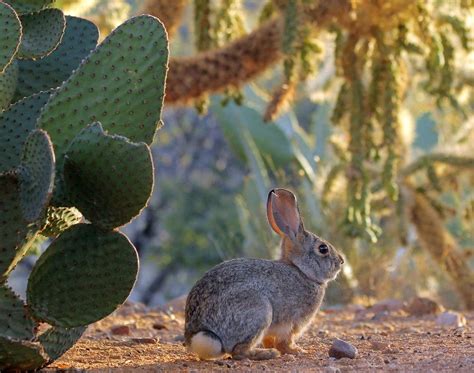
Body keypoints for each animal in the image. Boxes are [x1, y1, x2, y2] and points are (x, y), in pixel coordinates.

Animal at [183, 187, 342, 358]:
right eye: (323, 249)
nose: (341, 262)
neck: (302, 271)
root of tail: (197, 334)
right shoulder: (292, 323)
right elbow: (285, 342)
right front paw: (297, 350)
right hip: (259, 312)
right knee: (238, 351)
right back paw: (267, 354)